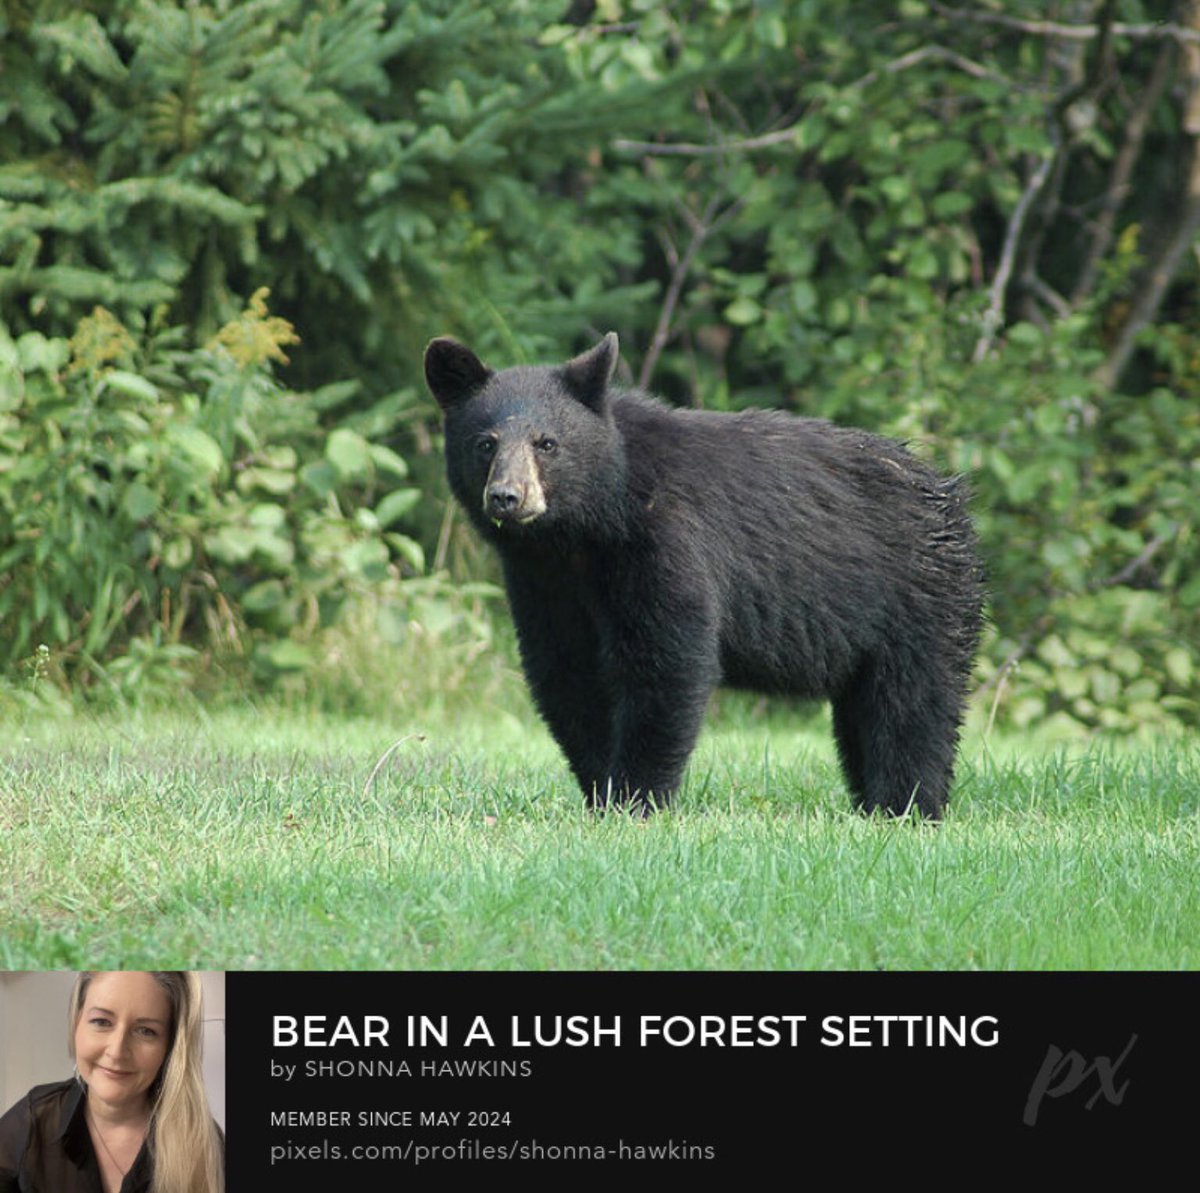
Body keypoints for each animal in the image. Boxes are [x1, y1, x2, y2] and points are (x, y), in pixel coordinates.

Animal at [425, 332, 983, 819]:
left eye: (547, 443)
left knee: (911, 706)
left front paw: (636, 799)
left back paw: (906, 807)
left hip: (917, 598)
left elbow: (665, 662)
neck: (589, 530)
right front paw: (600, 793)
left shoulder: (667, 542)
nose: (508, 497)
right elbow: (567, 674)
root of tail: (948, 492)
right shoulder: (543, 582)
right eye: (485, 443)